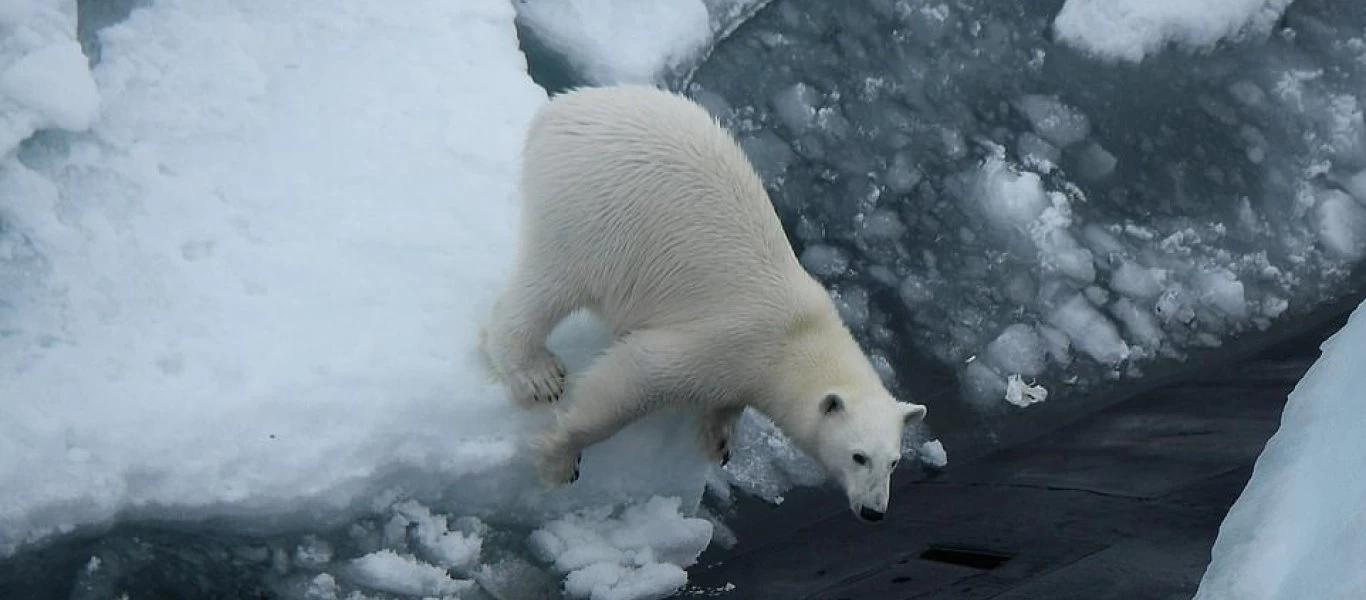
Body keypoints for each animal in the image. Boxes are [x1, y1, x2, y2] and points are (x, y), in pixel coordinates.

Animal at [483, 84, 928, 524]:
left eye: (894, 461)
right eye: (858, 456)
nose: (874, 511)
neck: (798, 337)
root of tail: (559, 109)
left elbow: (727, 402)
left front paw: (722, 438)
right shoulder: (730, 341)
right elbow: (636, 376)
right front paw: (560, 459)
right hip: (592, 213)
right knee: (550, 284)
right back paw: (536, 373)